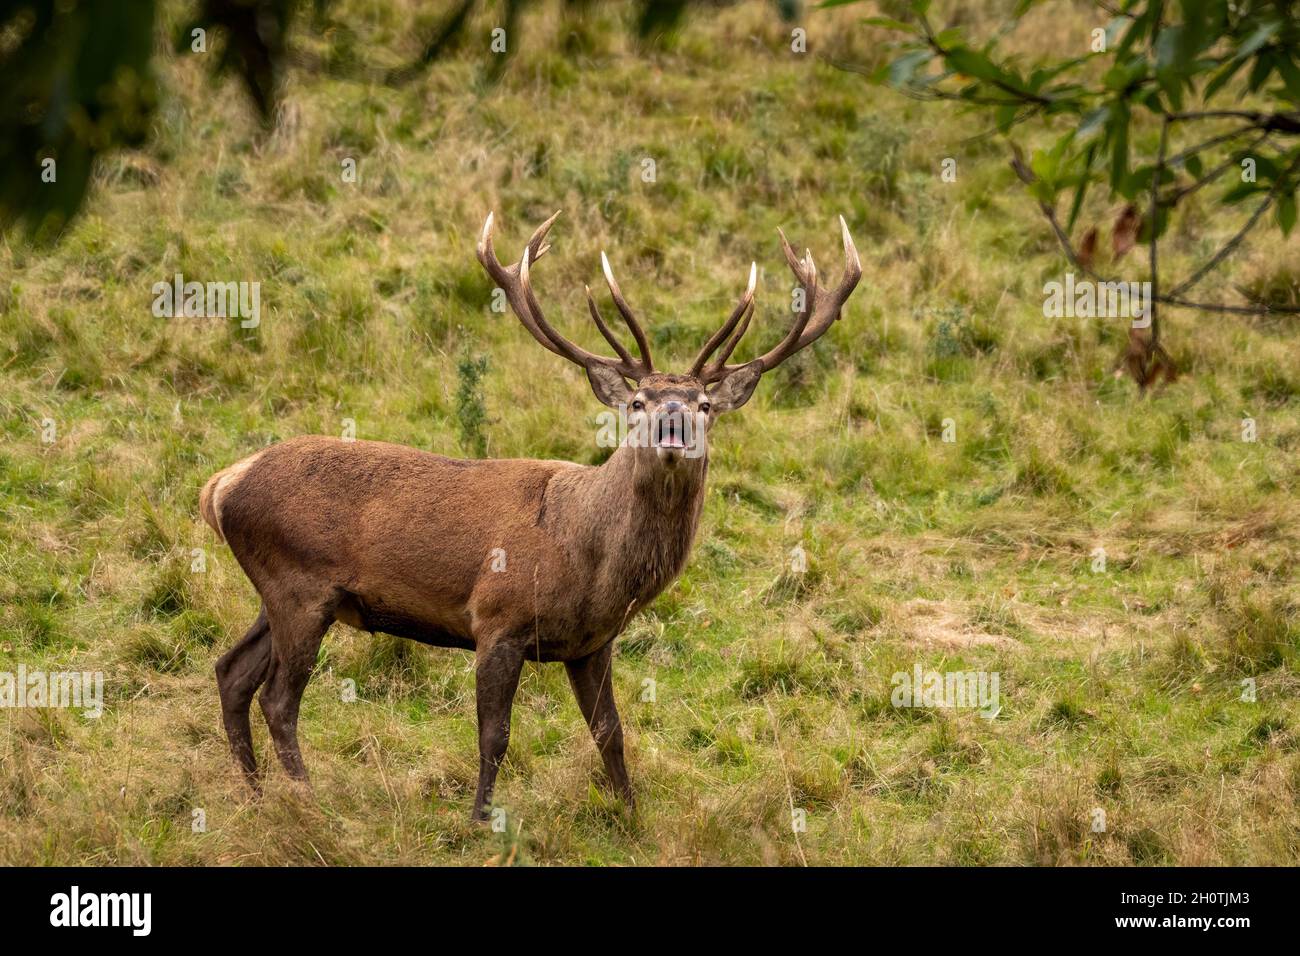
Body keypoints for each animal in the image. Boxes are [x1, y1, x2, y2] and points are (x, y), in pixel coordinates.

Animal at [199, 210, 862, 820]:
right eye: (639, 400)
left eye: (702, 403)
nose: (672, 422)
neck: (589, 560)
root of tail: (221, 485)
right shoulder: (498, 617)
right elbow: (495, 735)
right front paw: (478, 818)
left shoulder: (592, 643)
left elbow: (611, 732)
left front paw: (631, 816)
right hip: (300, 584)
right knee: (278, 700)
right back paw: (308, 802)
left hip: (282, 592)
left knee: (232, 673)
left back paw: (255, 796)